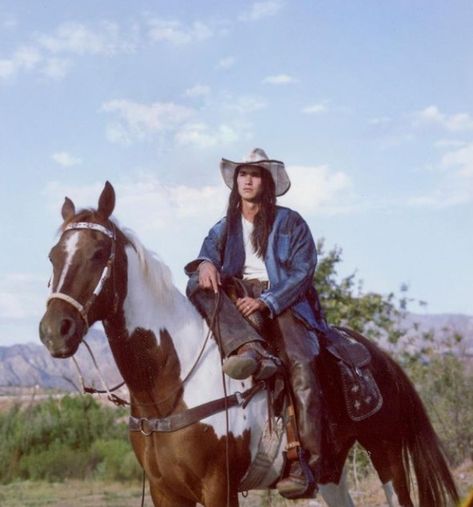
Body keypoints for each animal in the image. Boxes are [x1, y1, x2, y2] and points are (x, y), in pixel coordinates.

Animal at [38, 183, 460, 507]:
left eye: (98, 253)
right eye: (53, 256)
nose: (54, 330)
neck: (172, 385)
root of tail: (381, 357)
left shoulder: (218, 487)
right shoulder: (165, 492)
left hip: (385, 452)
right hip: (331, 473)